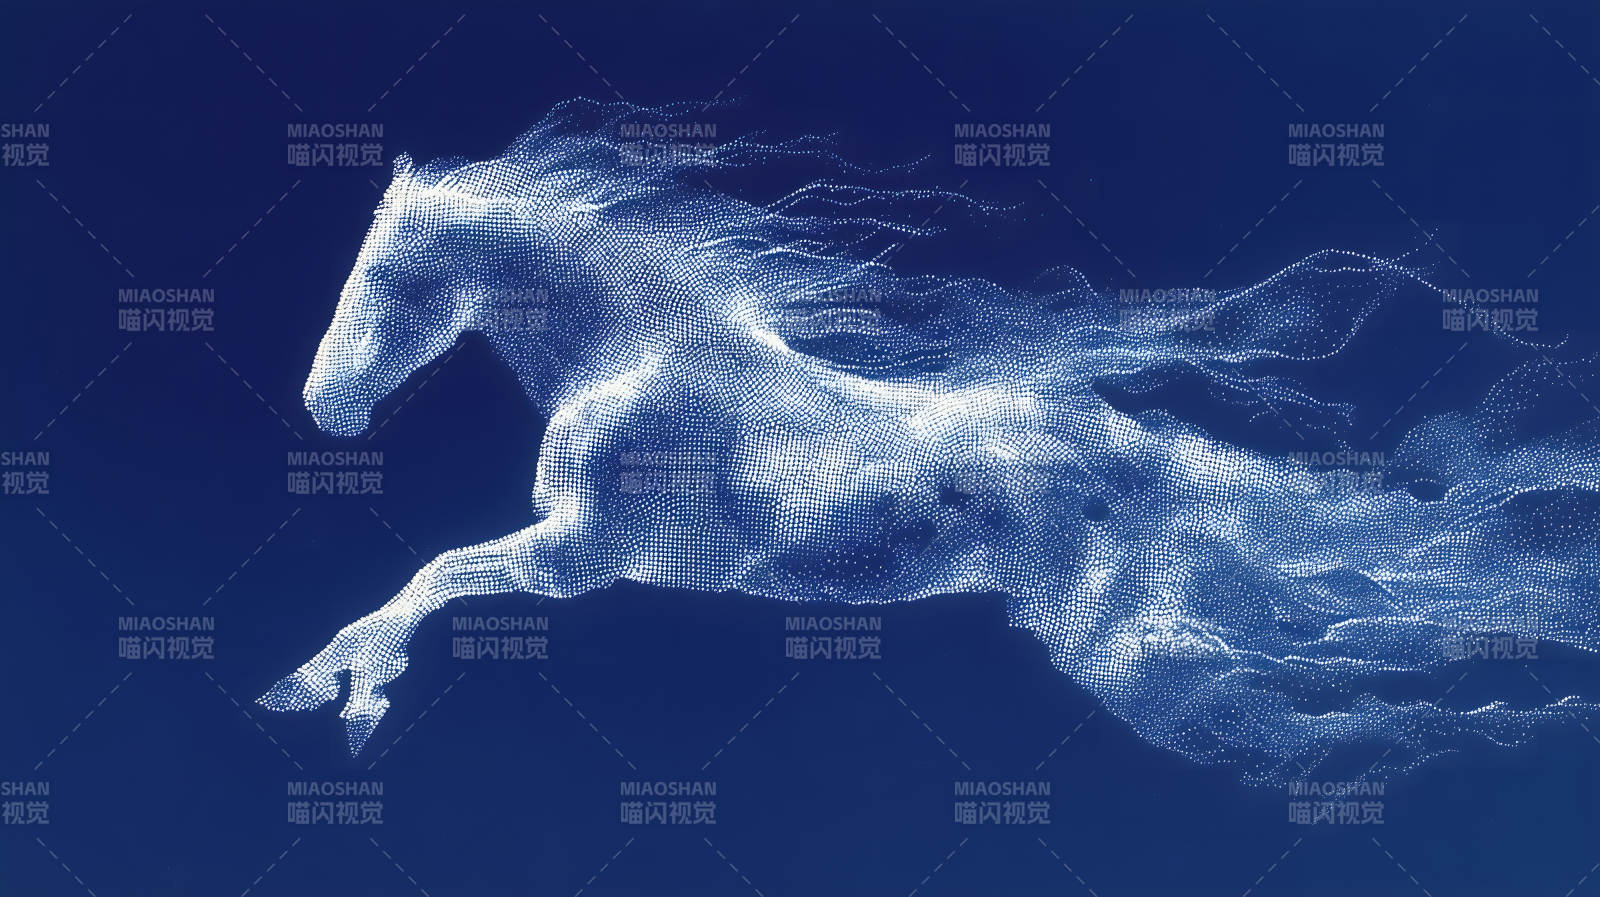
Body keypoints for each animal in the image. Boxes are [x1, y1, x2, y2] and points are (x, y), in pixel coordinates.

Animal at [261, 99, 1600, 783]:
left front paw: (336, 697)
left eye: (379, 275)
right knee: (1330, 692)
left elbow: (431, 575)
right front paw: (332, 693)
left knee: (1316, 722)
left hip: (1119, 645)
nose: (326, 408)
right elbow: (429, 579)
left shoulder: (578, 559)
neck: (640, 361)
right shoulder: (569, 555)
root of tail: (1152, 470)